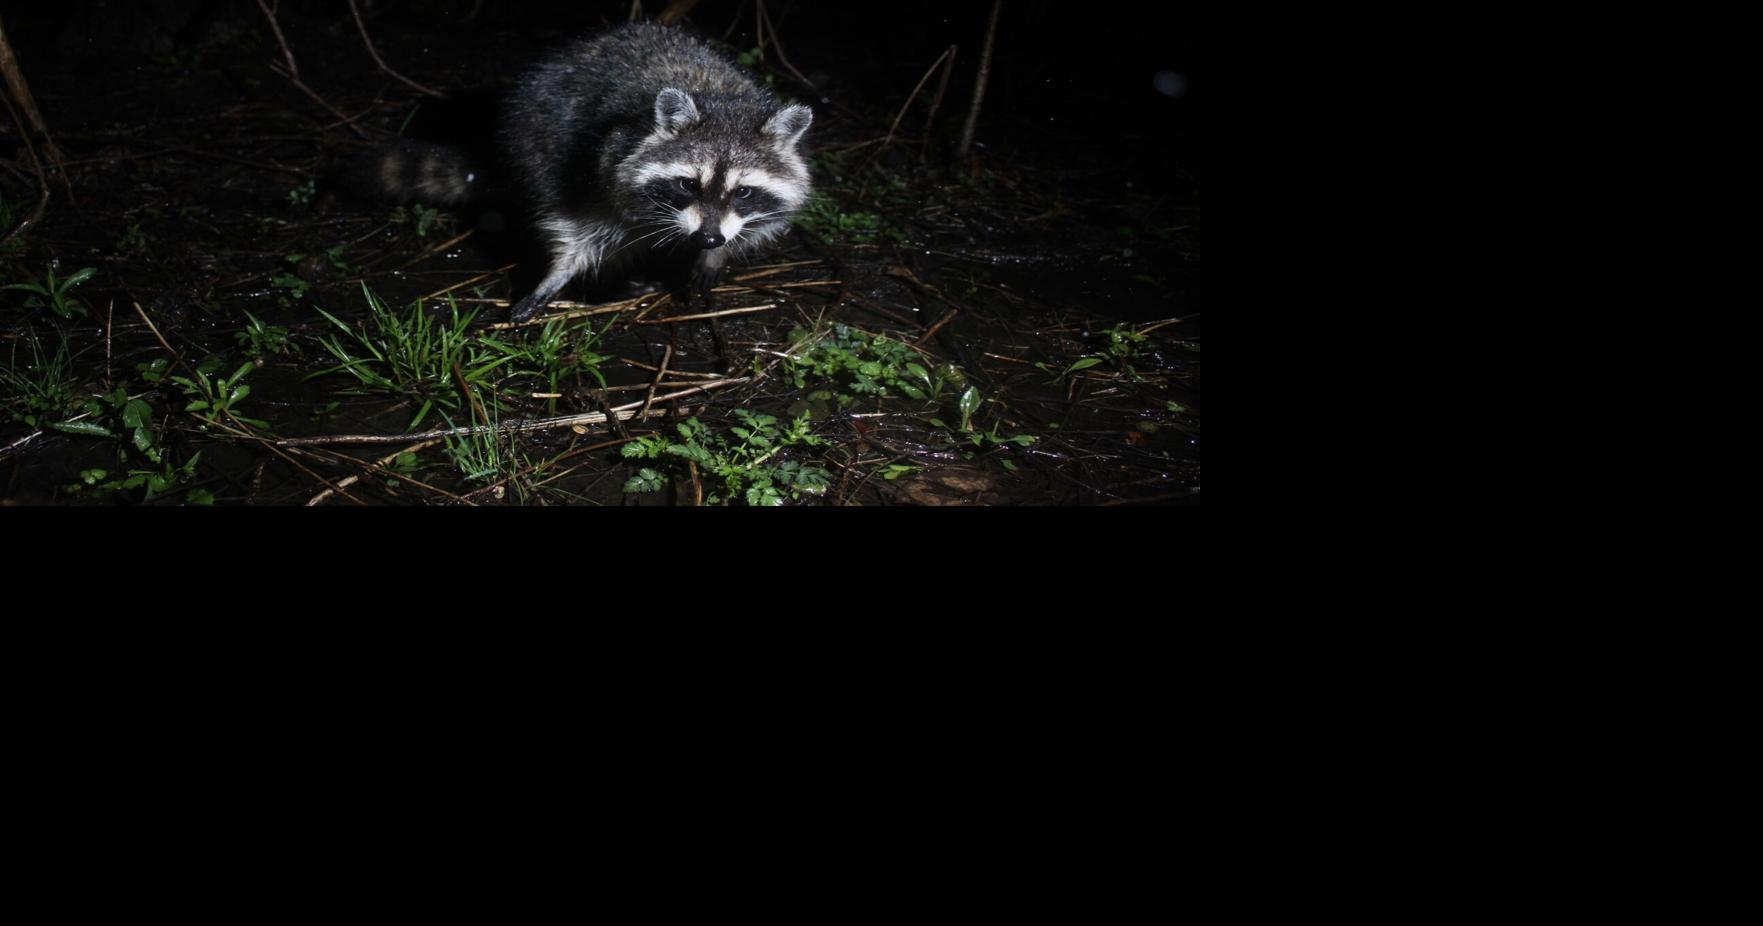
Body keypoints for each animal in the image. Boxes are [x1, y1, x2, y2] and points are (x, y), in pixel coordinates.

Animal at [498, 23, 814, 322]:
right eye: (688, 185)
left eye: (743, 191)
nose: (708, 239)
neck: (719, 98)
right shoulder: (604, 165)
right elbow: (584, 224)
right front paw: (559, 271)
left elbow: (754, 227)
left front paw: (713, 255)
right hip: (534, 141)